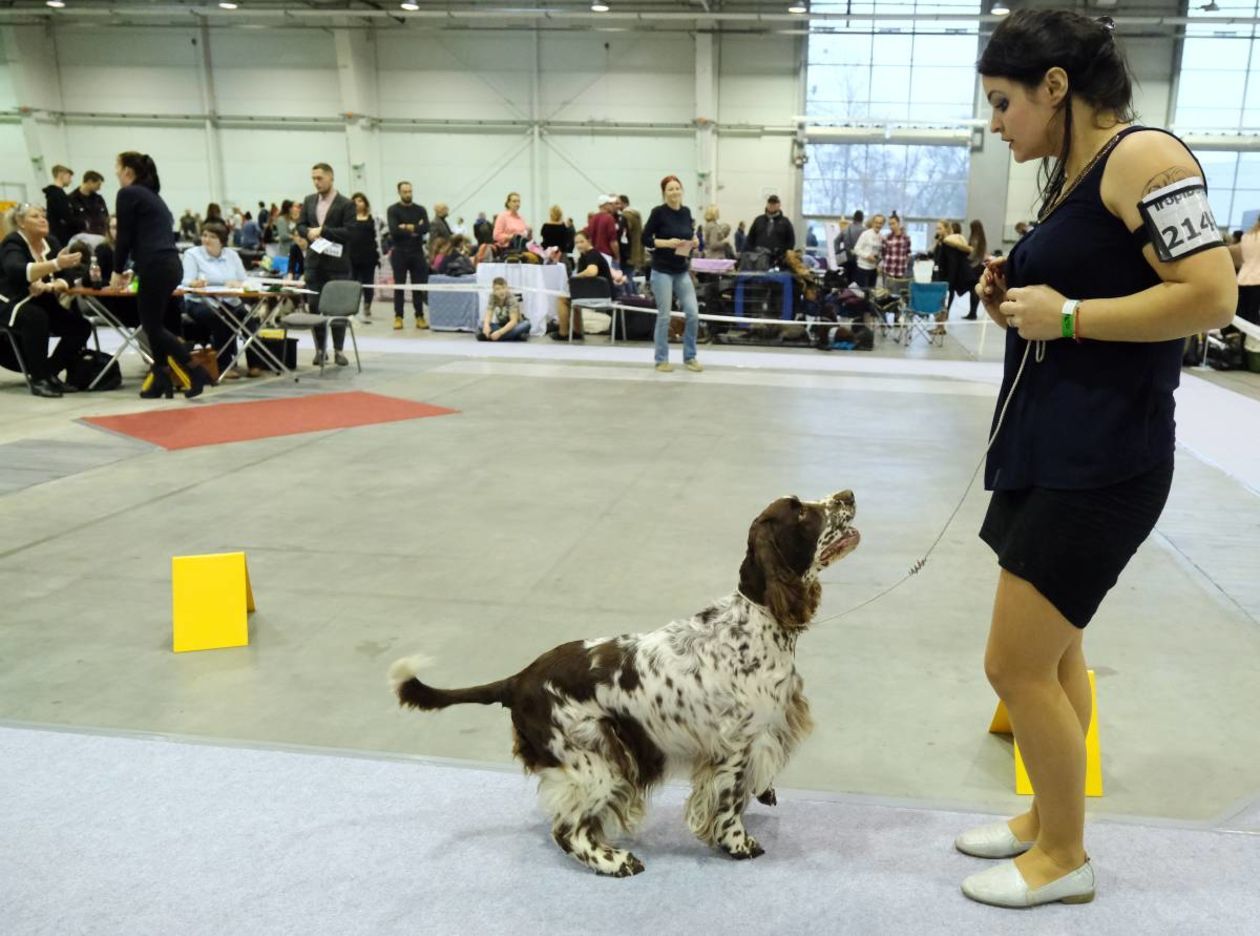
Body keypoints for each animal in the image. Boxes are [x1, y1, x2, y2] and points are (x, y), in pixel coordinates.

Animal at [388, 491, 861, 876]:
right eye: (800, 511)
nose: (848, 494)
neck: (756, 622)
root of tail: (518, 680)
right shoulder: (735, 745)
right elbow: (728, 804)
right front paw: (739, 844)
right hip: (595, 760)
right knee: (567, 830)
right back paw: (615, 861)